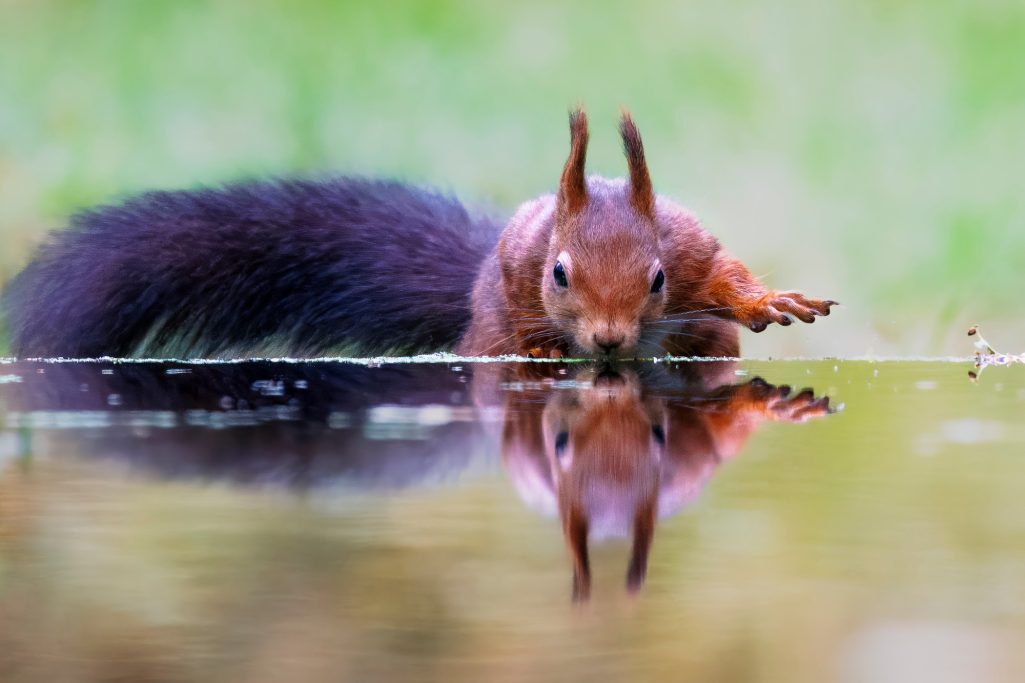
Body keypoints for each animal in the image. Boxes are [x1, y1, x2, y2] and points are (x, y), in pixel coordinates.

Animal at [2, 107, 832, 356]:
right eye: (558, 274)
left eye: (656, 279)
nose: (606, 340)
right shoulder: (516, 266)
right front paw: (539, 346)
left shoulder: (688, 249)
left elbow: (723, 276)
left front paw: (767, 302)